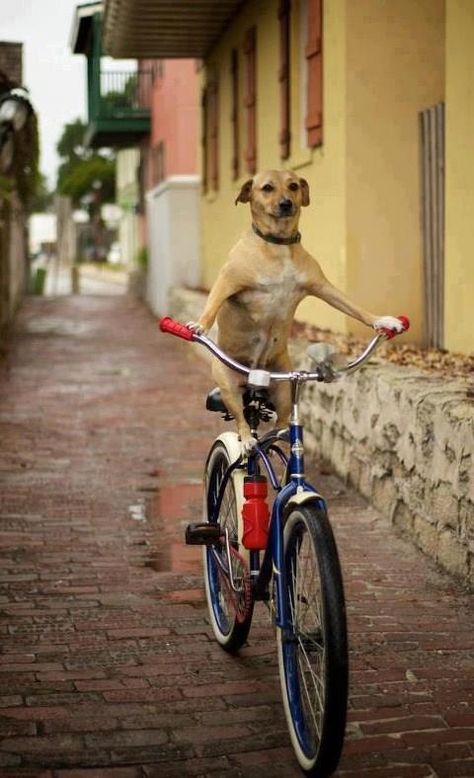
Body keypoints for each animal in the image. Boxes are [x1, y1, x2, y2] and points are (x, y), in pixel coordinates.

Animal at [191, 168, 402, 448]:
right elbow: (212, 303)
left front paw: (382, 321)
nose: (286, 203)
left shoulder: (324, 287)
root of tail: (251, 382)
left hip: (282, 388)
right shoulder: (227, 281)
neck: (278, 245)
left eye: (293, 186)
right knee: (241, 419)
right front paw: (199, 325)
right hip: (228, 385)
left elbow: (355, 308)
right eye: (267, 188)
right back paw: (247, 439)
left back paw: (279, 437)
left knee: (281, 422)